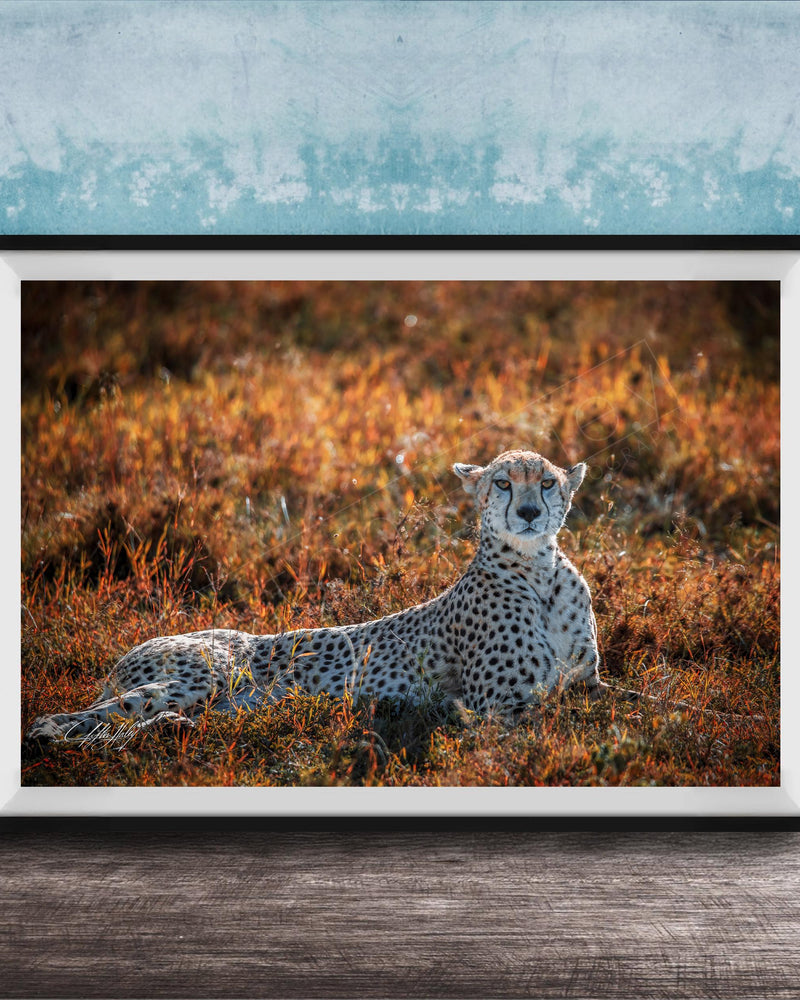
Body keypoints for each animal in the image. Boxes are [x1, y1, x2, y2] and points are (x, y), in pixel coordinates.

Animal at [25, 449, 603, 745]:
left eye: (547, 483)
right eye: (503, 483)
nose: (528, 513)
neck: (538, 570)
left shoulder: (587, 684)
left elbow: (617, 706)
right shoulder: (499, 711)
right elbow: (551, 732)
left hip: (226, 701)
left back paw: (171, 730)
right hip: (204, 675)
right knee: (56, 723)